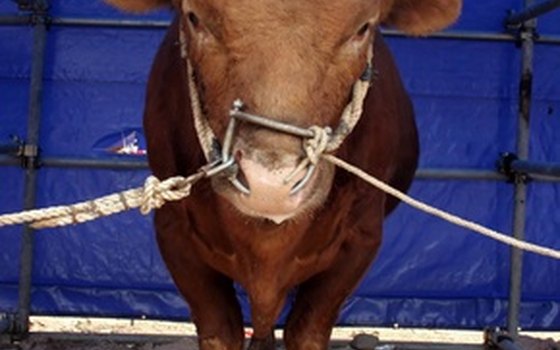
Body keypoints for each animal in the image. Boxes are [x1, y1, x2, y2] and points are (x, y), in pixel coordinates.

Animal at [107, 0, 462, 350]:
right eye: (194, 17)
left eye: (364, 28)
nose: (270, 186)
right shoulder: (174, 234)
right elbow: (220, 331)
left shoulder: (361, 239)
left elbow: (307, 331)